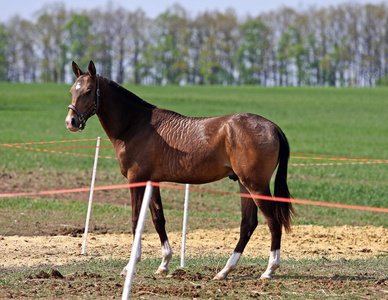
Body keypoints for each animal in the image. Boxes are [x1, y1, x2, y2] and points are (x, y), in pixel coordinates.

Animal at [66, 61, 294, 282]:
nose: (71, 122)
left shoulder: (136, 179)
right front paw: (164, 264)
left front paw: (130, 265)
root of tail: (273, 127)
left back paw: (269, 270)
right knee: (248, 224)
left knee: (273, 222)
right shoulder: (152, 181)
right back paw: (225, 271)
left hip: (255, 185)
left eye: (88, 90)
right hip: (243, 184)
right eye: (71, 90)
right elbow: (158, 219)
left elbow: (135, 221)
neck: (136, 125)